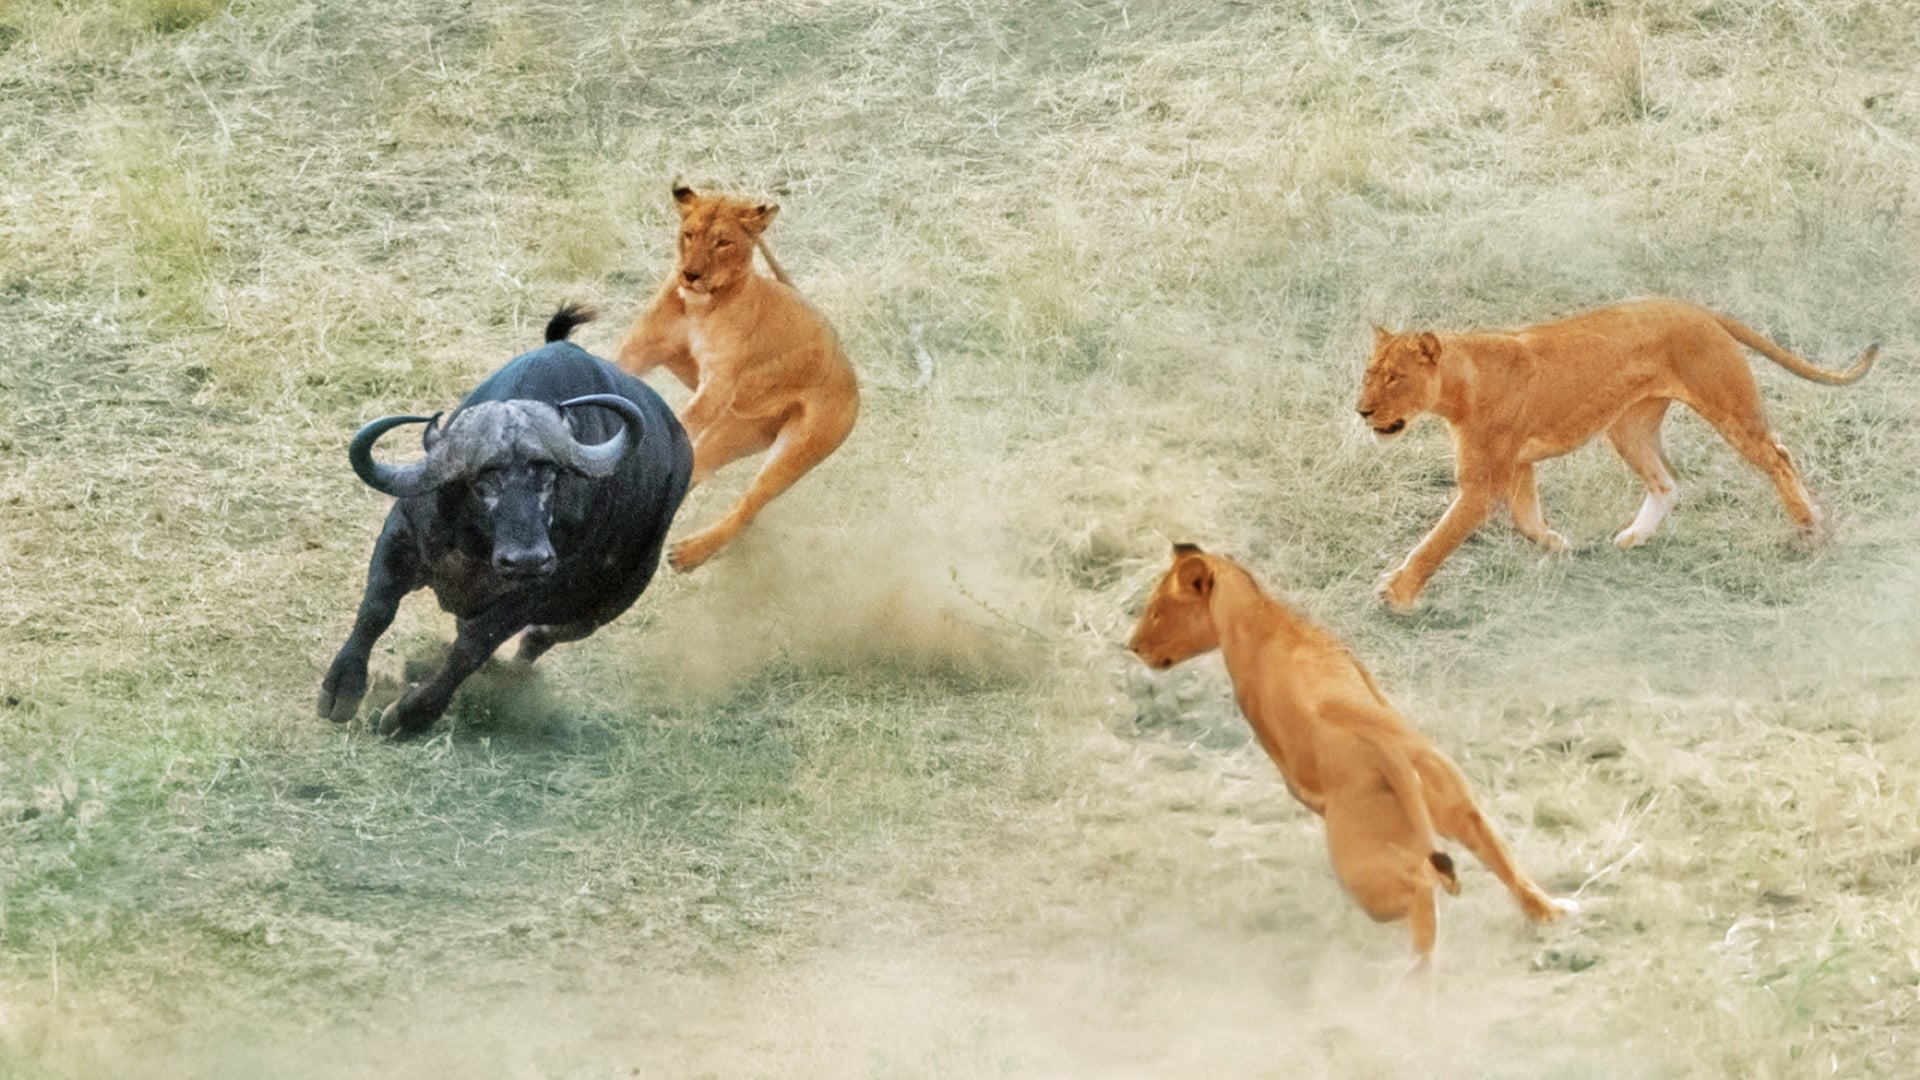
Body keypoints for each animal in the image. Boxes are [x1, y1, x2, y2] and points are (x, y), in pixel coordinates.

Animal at [615, 184, 859, 572]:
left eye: (723, 242)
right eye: (689, 234)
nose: (690, 274)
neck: (699, 306)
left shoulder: (719, 381)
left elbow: (688, 417)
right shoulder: (641, 348)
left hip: (795, 451)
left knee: (747, 509)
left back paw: (689, 553)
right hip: (733, 431)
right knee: (697, 472)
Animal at [1127, 543, 1576, 963]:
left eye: (1155, 611)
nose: (1131, 646)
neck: (1257, 611)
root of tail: (1389, 750)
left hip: (1360, 866)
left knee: (1421, 893)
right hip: (1461, 809)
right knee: (1507, 870)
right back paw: (1552, 912)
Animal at [1358, 298, 1878, 610]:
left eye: (1395, 378)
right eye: (1369, 374)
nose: (1362, 411)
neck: (1460, 382)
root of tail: (1696, 308)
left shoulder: (1485, 480)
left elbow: (1438, 540)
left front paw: (1396, 592)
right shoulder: (1518, 464)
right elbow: (1527, 519)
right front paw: (1559, 545)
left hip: (1728, 406)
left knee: (1778, 455)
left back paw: (1809, 530)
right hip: (1629, 427)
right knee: (1668, 481)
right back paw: (1634, 537)